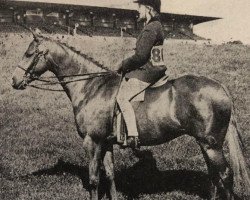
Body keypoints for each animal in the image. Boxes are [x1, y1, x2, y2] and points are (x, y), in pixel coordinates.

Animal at [12, 30, 250, 199]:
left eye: (29, 53)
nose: (14, 80)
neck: (90, 86)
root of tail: (220, 87)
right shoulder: (106, 143)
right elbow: (109, 176)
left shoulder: (92, 141)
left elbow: (94, 180)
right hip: (205, 144)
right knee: (215, 178)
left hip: (211, 145)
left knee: (225, 176)